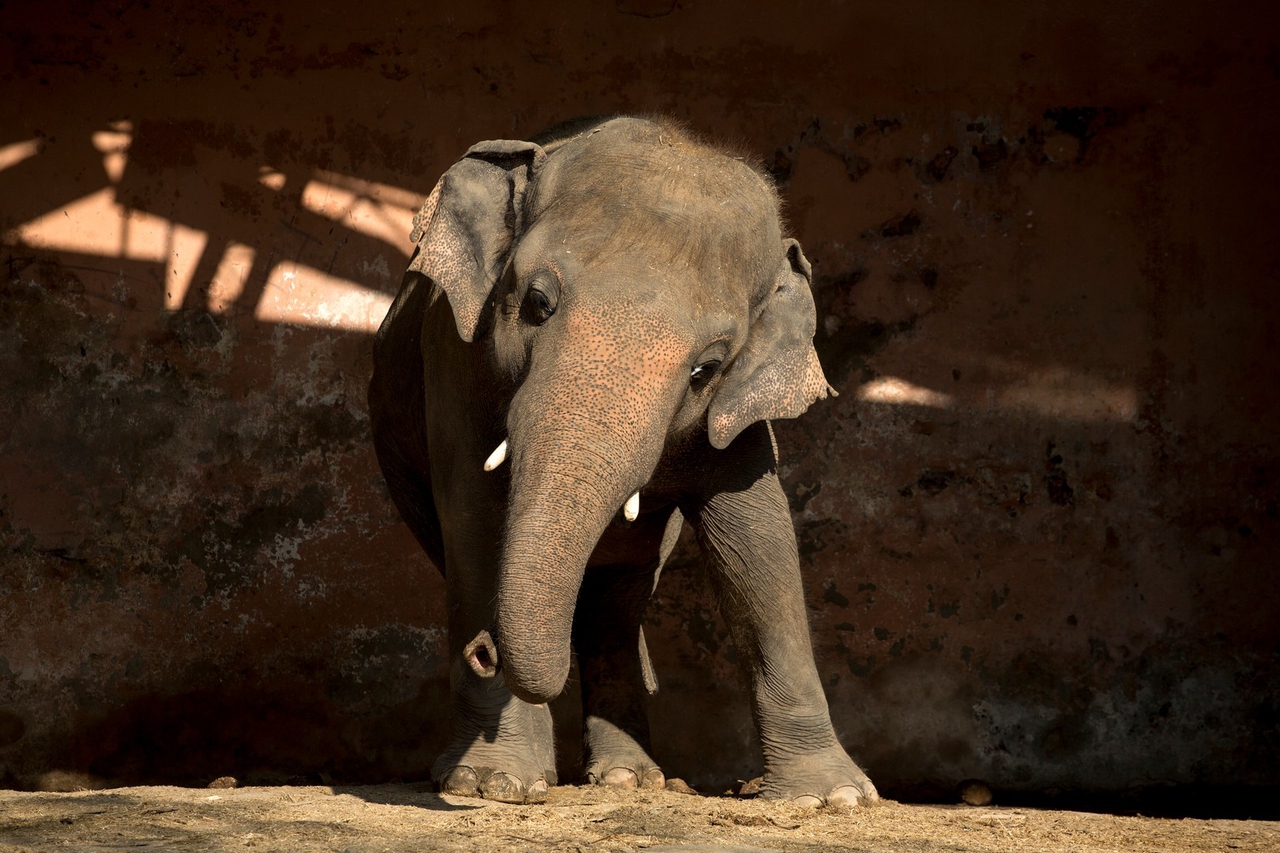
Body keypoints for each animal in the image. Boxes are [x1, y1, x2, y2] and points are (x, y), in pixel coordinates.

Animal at [366, 114, 875, 804]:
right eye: (537, 303)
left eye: (707, 368)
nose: (483, 652)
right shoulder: (453, 350)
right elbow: (472, 514)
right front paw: (491, 784)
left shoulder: (738, 415)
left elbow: (758, 537)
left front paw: (832, 798)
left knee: (616, 601)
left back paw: (628, 780)